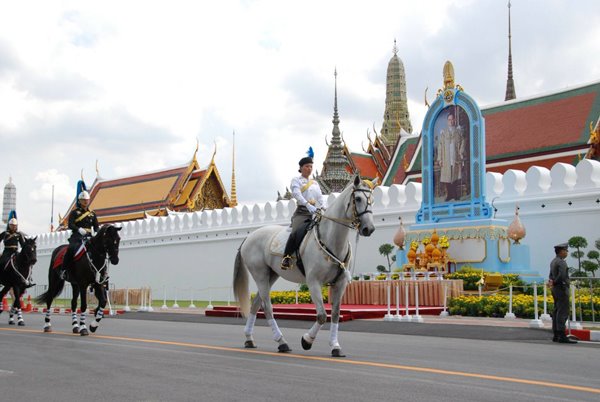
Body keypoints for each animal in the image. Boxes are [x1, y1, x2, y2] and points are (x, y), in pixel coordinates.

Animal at [233, 176, 376, 358]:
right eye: (357, 198)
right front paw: (306, 341)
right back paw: (282, 342)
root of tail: (249, 236)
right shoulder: (313, 281)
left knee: (256, 303)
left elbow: (335, 314)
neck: (332, 240)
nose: (368, 228)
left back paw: (249, 339)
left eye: (372, 199)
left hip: (271, 274)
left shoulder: (340, 283)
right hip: (260, 274)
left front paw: (335, 346)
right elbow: (322, 315)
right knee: (267, 307)